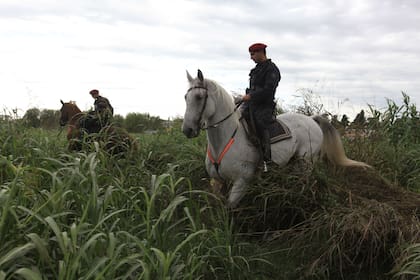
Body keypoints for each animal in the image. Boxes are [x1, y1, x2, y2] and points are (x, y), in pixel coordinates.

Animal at [182, 69, 370, 207]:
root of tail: (312, 119)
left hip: (306, 162)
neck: (226, 140)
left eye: (199, 97)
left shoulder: (241, 183)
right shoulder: (217, 182)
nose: (187, 130)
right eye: (185, 97)